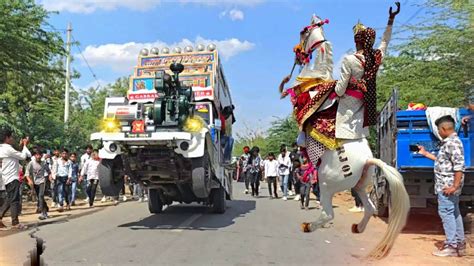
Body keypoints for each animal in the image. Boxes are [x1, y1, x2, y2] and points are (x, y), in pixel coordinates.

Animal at [282, 14, 412, 260]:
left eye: (302, 32)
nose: (296, 53)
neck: (316, 82)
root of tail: (369, 159)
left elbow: (300, 132)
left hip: (326, 184)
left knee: (328, 214)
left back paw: (308, 225)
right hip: (361, 185)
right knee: (370, 207)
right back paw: (357, 227)